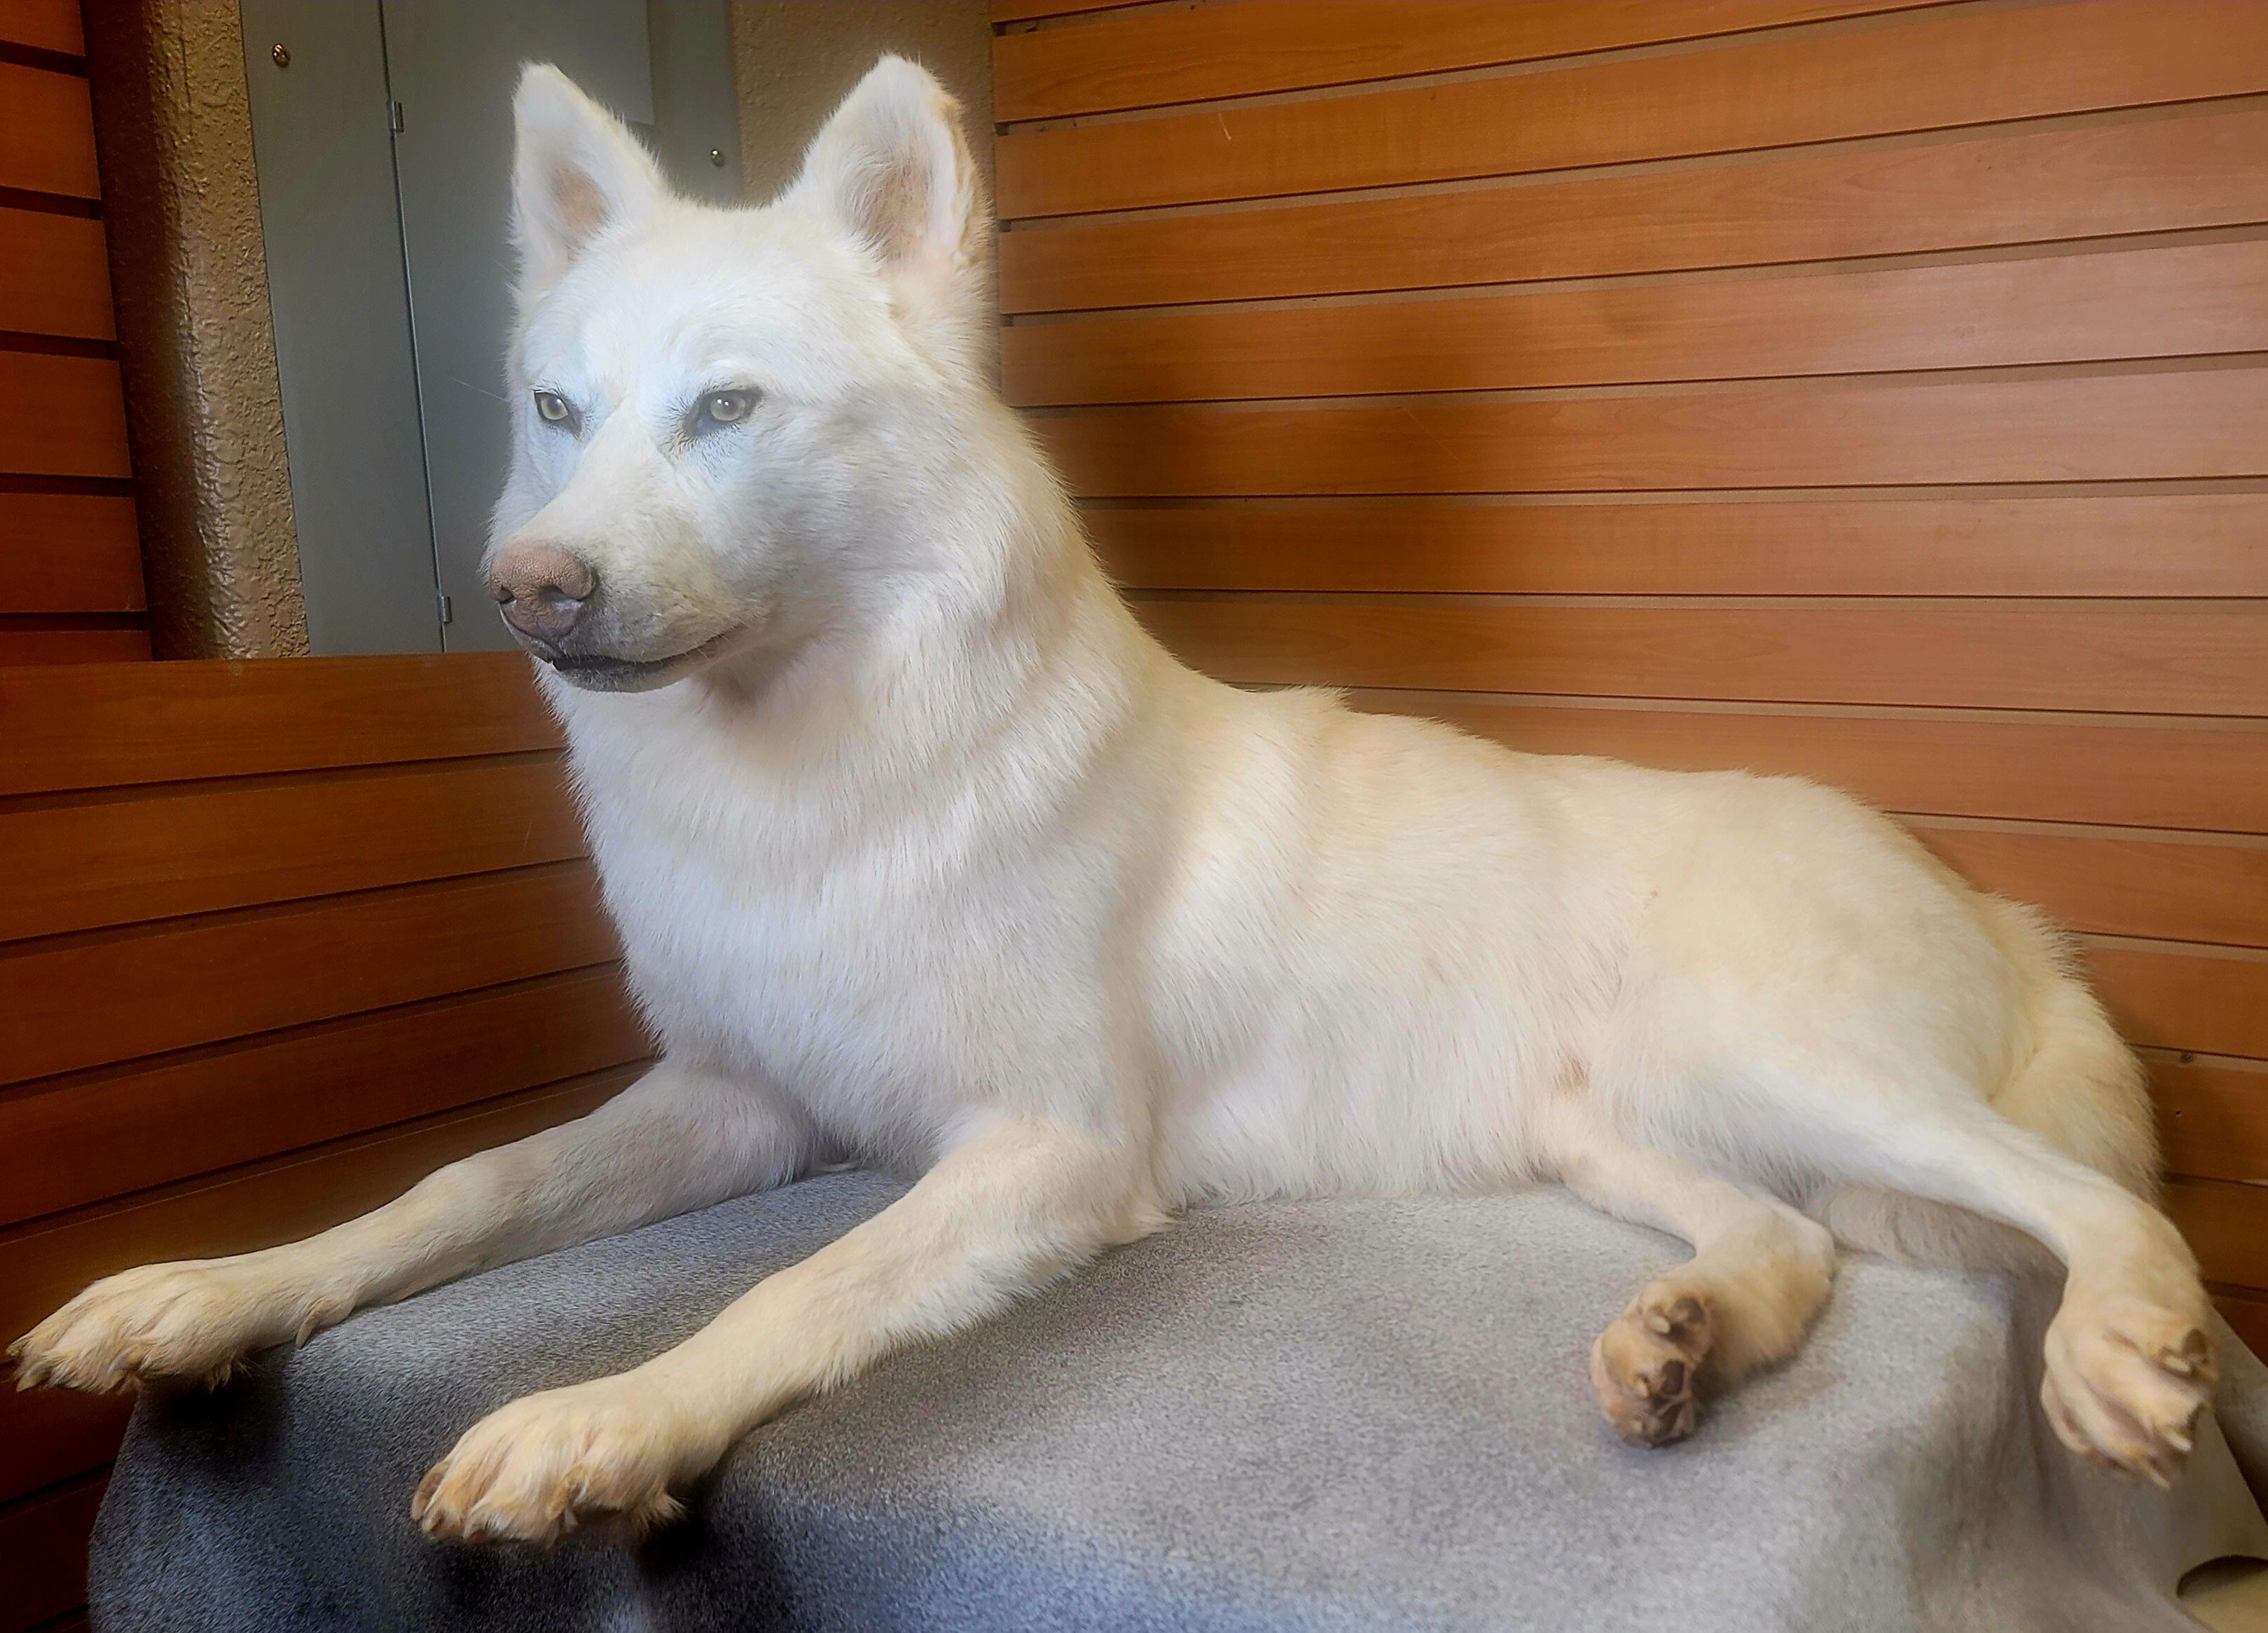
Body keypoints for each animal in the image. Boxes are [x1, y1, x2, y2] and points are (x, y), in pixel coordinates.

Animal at [13, 59, 2217, 1545]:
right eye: (558, 413)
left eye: (724, 410)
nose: (528, 594)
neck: (834, 771)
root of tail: (1983, 898)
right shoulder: (738, 1101)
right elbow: (453, 1189)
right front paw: (211, 1292)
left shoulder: (1037, 1155)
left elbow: (794, 1285)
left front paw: (610, 1417)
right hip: (1625, 1123)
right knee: (1791, 1249)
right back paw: (1677, 1340)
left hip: (1779, 1058)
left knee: (2099, 1209)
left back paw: (2121, 1337)